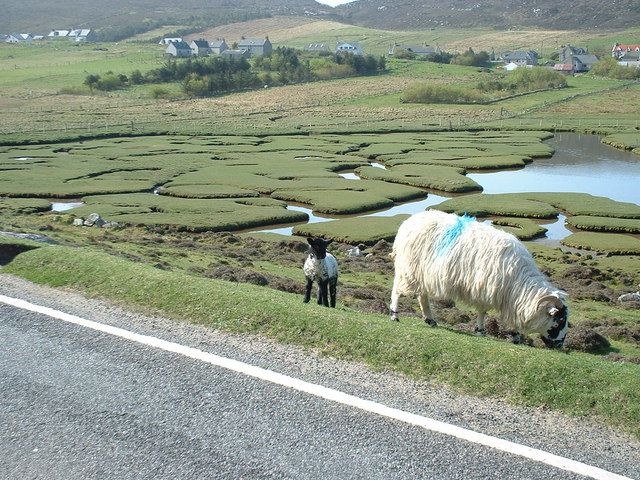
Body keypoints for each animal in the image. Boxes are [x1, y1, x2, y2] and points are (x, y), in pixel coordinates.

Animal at [388, 212, 568, 346]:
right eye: (559, 321)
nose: (560, 344)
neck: (520, 282)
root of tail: (408, 222)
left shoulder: (509, 297)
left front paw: (516, 335)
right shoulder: (485, 288)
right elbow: (483, 311)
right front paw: (481, 331)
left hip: (422, 273)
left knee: (422, 296)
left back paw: (430, 320)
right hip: (408, 268)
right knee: (397, 289)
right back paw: (394, 315)